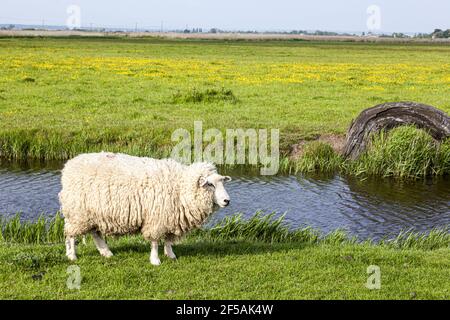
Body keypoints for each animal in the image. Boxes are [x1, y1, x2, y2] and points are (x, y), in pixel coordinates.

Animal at [59, 152, 232, 264]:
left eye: (222, 182)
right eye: (210, 184)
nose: (227, 201)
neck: (180, 187)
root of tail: (69, 166)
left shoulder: (170, 217)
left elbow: (168, 239)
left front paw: (171, 255)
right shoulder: (156, 218)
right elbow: (155, 241)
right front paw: (155, 260)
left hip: (93, 213)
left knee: (95, 233)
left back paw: (106, 253)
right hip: (78, 213)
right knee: (70, 234)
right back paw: (72, 255)